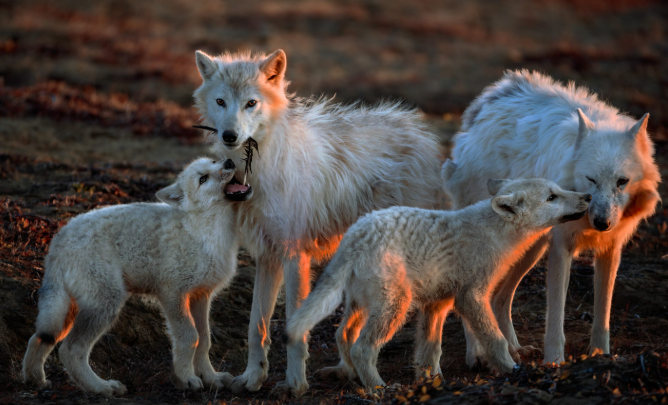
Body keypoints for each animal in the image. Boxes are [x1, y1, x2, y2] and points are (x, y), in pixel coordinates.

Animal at [22, 157, 252, 396]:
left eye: (214, 161)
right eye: (203, 179)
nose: (229, 161)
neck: (206, 230)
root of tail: (57, 241)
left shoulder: (200, 296)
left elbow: (204, 340)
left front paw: (211, 378)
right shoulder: (173, 295)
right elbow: (190, 337)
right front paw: (186, 379)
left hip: (67, 311)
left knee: (38, 338)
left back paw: (35, 381)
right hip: (105, 304)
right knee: (70, 350)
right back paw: (101, 387)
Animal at [192, 49, 444, 395]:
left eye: (251, 103)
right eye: (221, 102)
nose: (230, 136)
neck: (259, 167)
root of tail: (424, 137)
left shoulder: (294, 256)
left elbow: (294, 329)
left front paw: (295, 384)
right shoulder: (267, 256)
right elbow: (256, 326)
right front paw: (252, 377)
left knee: (431, 316)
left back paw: (431, 373)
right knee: (347, 332)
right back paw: (346, 372)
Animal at [285, 175, 591, 389]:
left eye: (558, 191)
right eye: (552, 197)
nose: (588, 195)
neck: (495, 233)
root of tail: (353, 237)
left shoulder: (438, 304)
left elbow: (430, 350)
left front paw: (432, 382)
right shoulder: (472, 297)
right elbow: (496, 340)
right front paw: (510, 369)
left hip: (362, 305)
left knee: (342, 335)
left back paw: (352, 377)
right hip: (395, 307)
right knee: (362, 348)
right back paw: (379, 388)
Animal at [445, 70, 661, 365]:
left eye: (622, 181)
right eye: (591, 179)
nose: (601, 223)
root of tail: (494, 96)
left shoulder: (611, 249)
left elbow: (602, 312)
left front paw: (600, 355)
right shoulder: (561, 248)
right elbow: (556, 315)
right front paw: (555, 362)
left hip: (529, 250)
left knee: (500, 298)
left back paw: (515, 349)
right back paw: (477, 354)